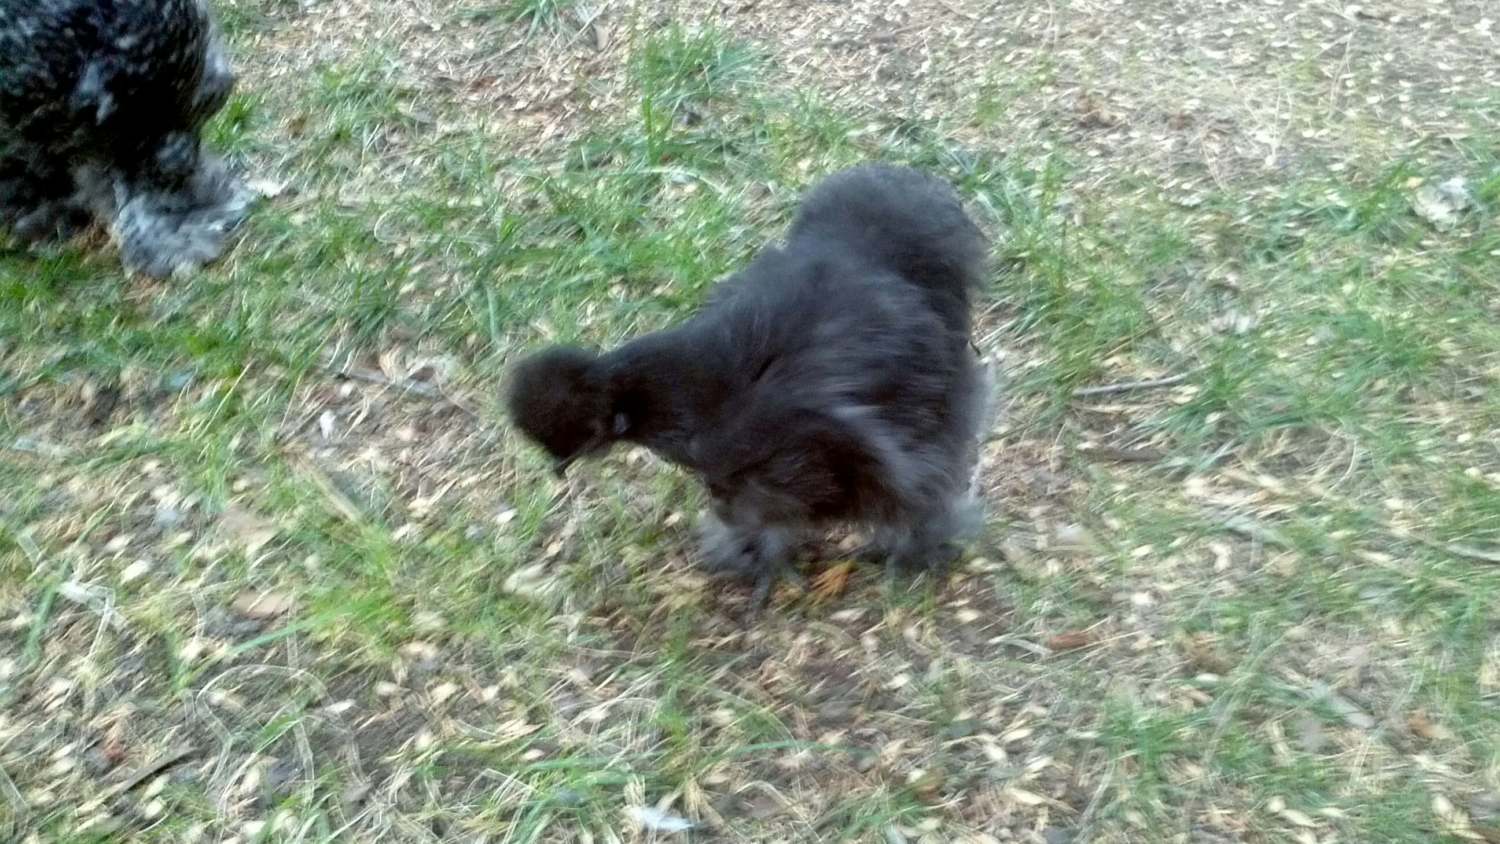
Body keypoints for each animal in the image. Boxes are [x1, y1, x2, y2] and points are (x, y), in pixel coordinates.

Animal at [508, 164, 992, 608]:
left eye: (579, 434)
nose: (558, 467)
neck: (694, 392)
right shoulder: (745, 481)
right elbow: (763, 520)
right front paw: (757, 562)